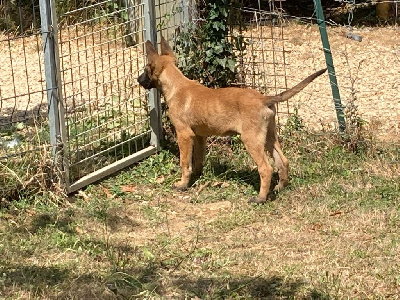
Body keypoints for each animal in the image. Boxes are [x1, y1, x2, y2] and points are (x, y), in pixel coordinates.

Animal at [137, 36, 324, 203]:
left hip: (251, 139)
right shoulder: (199, 136)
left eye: (146, 69)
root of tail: (263, 99)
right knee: (282, 160)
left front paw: (182, 184)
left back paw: (260, 198)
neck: (177, 85)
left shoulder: (184, 134)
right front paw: (196, 176)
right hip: (269, 136)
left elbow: (184, 162)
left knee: (266, 168)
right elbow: (197, 159)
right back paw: (279, 188)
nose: (138, 80)